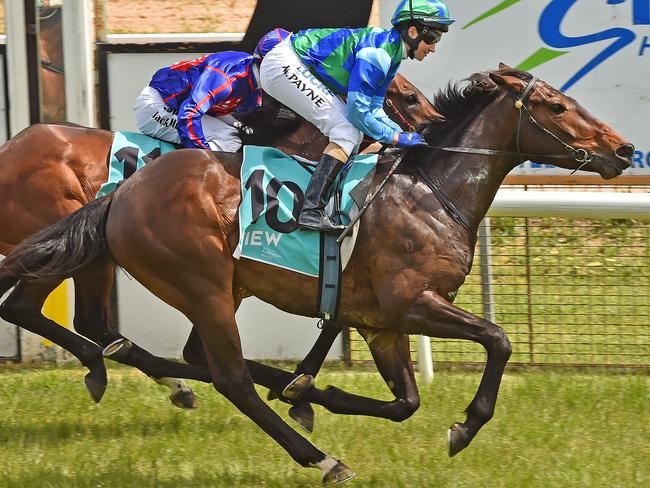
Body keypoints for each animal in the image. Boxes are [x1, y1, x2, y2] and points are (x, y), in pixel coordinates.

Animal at [1, 73, 436, 408]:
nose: (433, 128)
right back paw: (139, 373)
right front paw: (298, 388)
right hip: (75, 247)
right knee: (59, 315)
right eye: (410, 97)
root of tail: (11, 149)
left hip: (81, 255)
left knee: (49, 313)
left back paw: (146, 375)